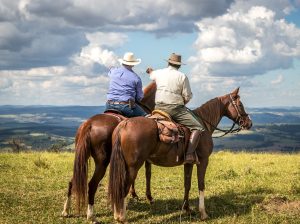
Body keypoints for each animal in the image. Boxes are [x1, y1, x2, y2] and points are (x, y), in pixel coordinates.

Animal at [59, 81, 156, 220]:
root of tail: (89, 124)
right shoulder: (142, 157)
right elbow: (147, 174)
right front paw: (147, 197)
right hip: (102, 163)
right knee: (92, 185)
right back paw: (91, 215)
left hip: (82, 159)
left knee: (72, 182)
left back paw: (66, 211)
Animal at [109, 87, 252, 222]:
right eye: (240, 105)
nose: (249, 123)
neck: (204, 125)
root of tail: (124, 124)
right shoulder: (203, 161)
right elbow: (201, 184)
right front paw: (203, 213)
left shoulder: (188, 163)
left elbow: (187, 184)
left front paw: (187, 208)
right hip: (133, 166)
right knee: (123, 187)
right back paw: (121, 217)